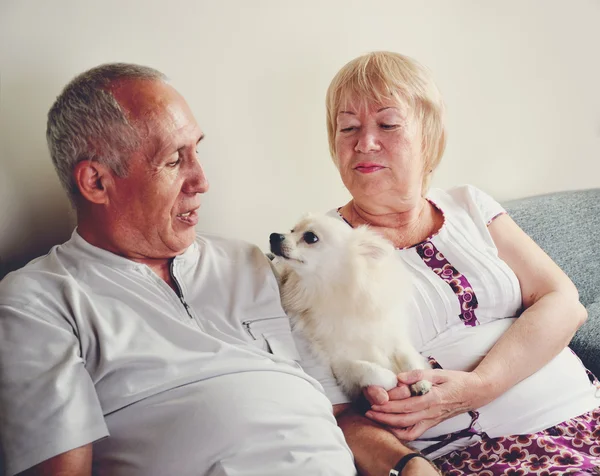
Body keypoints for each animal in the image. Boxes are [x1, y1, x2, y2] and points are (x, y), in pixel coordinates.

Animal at [270, 215, 432, 398]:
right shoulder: (340, 362)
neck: (332, 290)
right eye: (292, 230)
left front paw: (421, 381)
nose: (274, 236)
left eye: (310, 237)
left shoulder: (396, 339)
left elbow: (410, 360)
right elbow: (365, 369)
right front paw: (391, 379)